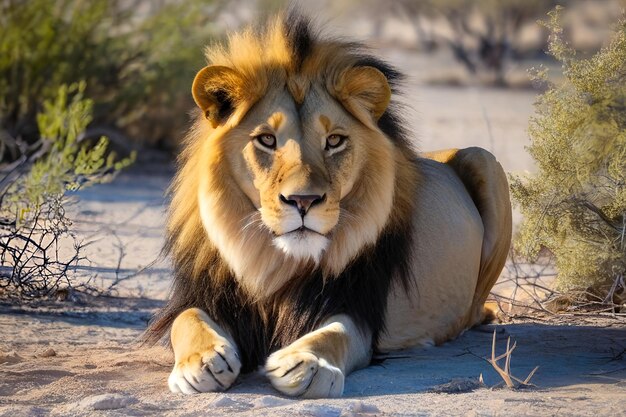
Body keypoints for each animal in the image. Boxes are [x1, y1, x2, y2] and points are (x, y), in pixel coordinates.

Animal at [144, 11, 510, 398]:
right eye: (266, 140)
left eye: (334, 140)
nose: (303, 200)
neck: (272, 260)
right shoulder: (204, 295)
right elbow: (186, 320)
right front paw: (201, 361)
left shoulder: (357, 307)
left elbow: (336, 334)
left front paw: (305, 363)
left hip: (484, 160)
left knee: (474, 311)